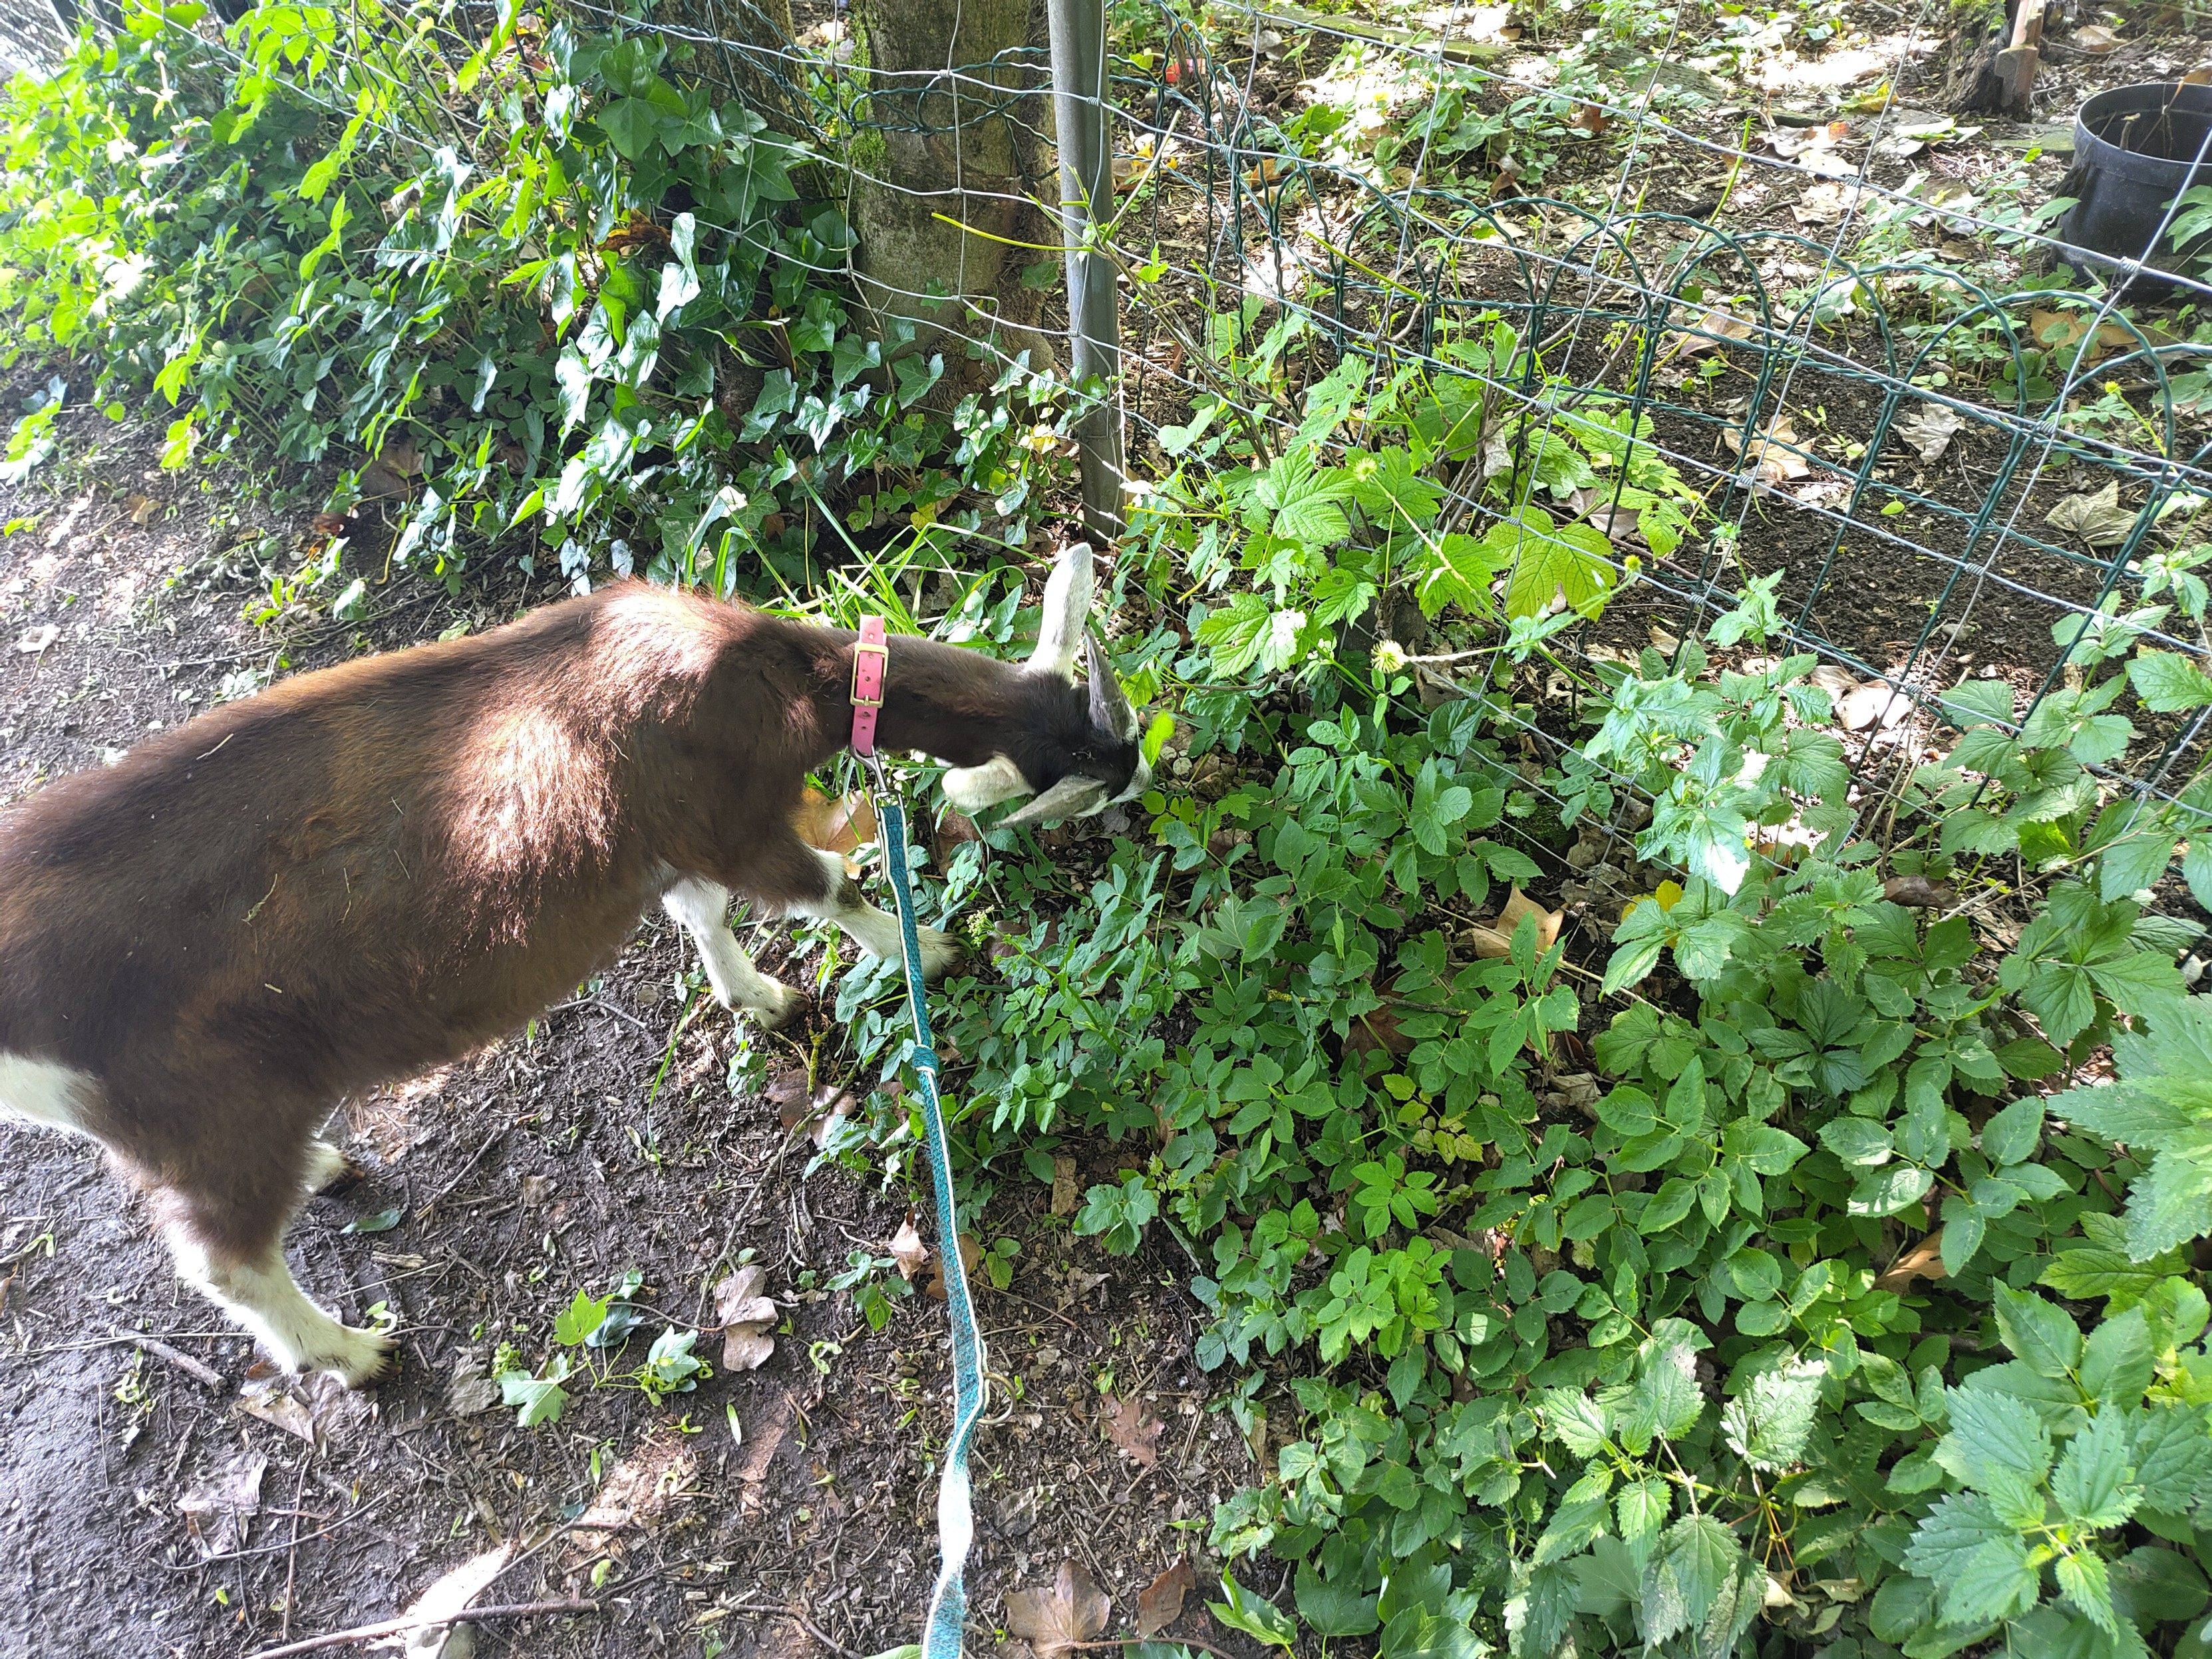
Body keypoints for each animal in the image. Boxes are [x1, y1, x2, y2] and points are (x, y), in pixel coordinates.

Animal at [0, 544, 1145, 1385]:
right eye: (1090, 765)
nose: (1142, 783)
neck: (781, 684)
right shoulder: (729, 819)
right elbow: (829, 885)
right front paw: (934, 950)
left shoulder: (664, 842)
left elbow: (699, 915)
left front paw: (756, 996)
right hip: (204, 1103)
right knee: (224, 1258)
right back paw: (351, 1351)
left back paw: (323, 1169)